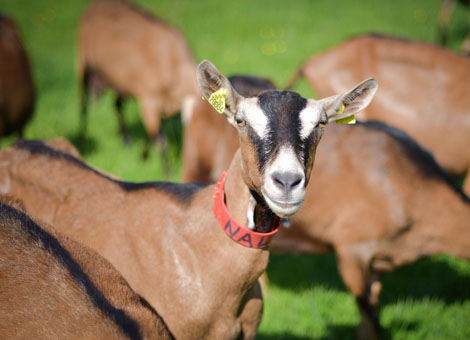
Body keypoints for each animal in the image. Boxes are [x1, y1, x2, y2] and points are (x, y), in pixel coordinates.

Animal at [77, 0, 198, 157]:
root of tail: (94, 4)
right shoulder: (149, 99)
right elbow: (160, 139)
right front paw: (147, 157)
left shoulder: (160, 104)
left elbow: (157, 134)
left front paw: (143, 154)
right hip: (83, 64)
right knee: (83, 104)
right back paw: (82, 138)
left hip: (120, 80)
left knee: (117, 105)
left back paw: (126, 140)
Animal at [180, 75, 470, 338]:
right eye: (241, 121)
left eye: (321, 123)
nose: (287, 182)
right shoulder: (353, 248)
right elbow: (368, 309)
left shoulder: (378, 258)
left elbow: (373, 304)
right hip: (195, 164)